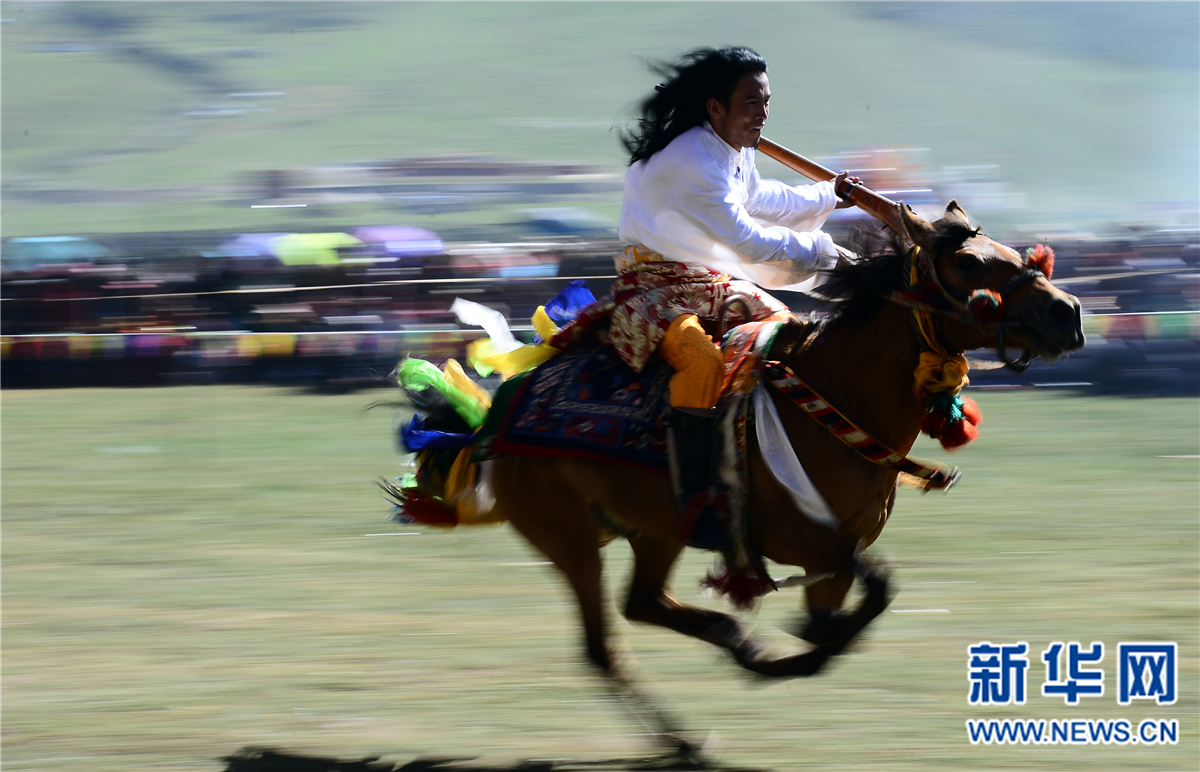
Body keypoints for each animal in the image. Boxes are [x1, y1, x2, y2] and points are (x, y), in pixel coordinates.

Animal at [386, 200, 1089, 758]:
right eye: (968, 264)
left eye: (1014, 255)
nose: (1069, 313)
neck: (834, 400)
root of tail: (492, 419)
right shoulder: (799, 538)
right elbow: (872, 588)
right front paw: (800, 653)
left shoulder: (834, 550)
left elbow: (858, 598)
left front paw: (794, 648)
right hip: (568, 535)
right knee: (603, 644)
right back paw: (689, 735)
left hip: (657, 528)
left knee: (644, 604)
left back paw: (737, 650)